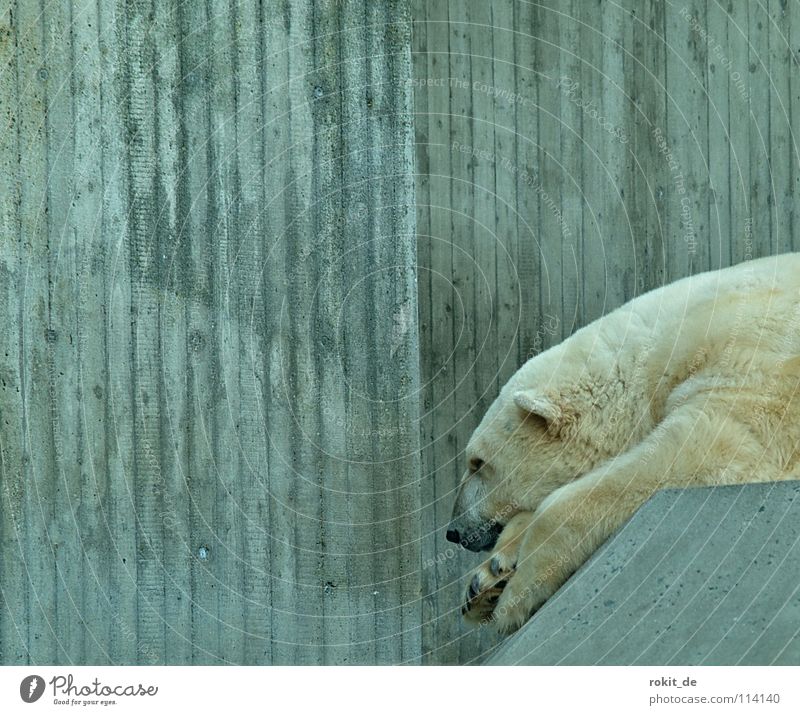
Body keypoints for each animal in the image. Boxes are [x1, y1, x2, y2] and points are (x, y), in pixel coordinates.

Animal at [446, 255, 800, 636]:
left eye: (477, 463)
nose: (453, 531)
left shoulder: (753, 360)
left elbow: (703, 453)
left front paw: (517, 593)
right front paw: (486, 581)